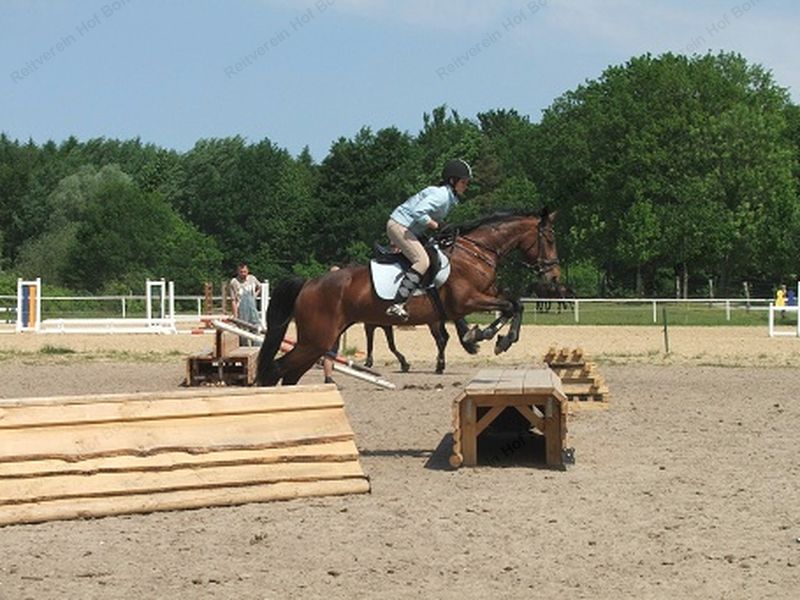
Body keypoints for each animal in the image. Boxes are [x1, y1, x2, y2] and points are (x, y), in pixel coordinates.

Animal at [257, 209, 560, 386]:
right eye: (550, 238)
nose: (555, 277)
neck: (476, 251)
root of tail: (309, 283)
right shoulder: (466, 301)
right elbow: (508, 306)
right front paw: (488, 336)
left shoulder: (486, 294)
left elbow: (514, 304)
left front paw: (493, 338)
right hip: (315, 340)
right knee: (278, 369)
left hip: (318, 342)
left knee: (289, 374)